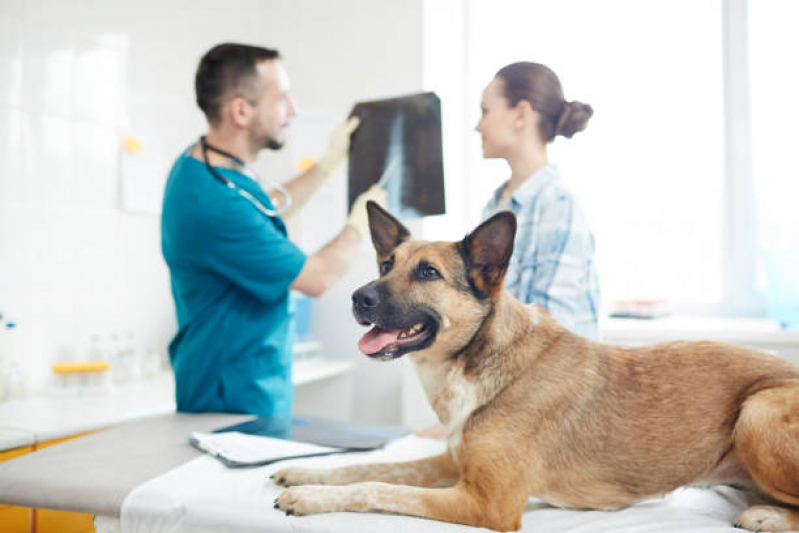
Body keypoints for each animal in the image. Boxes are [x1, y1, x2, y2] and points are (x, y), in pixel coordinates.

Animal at [276, 202, 799, 528]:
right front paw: (302, 473)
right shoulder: (452, 463)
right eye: (386, 265)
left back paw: (767, 516)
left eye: (427, 273)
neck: (480, 358)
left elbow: (378, 486)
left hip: (757, 412)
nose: (357, 297)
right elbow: (366, 467)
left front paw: (310, 497)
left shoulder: (487, 504)